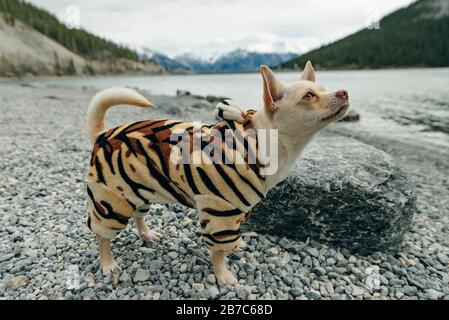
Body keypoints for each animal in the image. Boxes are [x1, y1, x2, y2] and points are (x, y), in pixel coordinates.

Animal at [85, 61, 350, 284]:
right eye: (309, 96)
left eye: (323, 89)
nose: (344, 92)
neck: (259, 141)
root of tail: (103, 133)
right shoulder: (220, 211)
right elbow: (218, 250)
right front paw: (223, 275)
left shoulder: (237, 211)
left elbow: (231, 239)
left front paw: (238, 245)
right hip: (112, 198)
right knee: (102, 235)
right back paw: (108, 263)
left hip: (140, 189)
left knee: (139, 216)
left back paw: (147, 234)